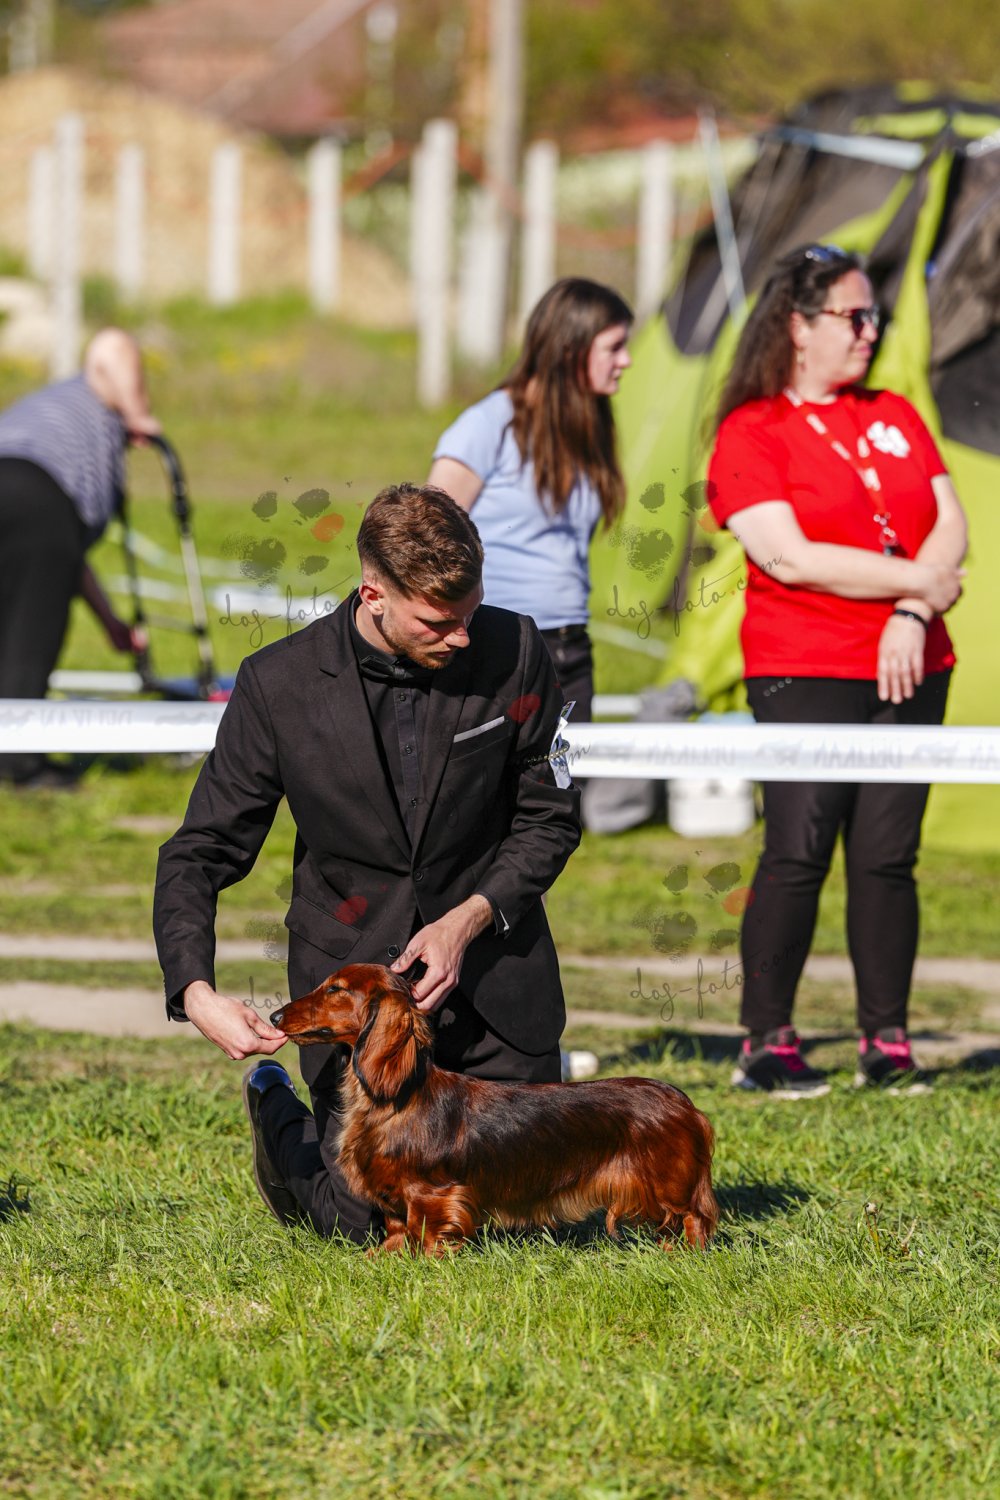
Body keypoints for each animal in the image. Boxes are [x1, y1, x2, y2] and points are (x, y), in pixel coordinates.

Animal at [271, 963, 718, 1256]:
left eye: (336, 989)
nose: (274, 1016)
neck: (394, 1100)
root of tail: (687, 1105)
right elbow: (397, 1228)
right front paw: (384, 1257)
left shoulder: (432, 1192)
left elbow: (427, 1228)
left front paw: (425, 1262)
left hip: (669, 1182)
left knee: (695, 1218)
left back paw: (689, 1256)